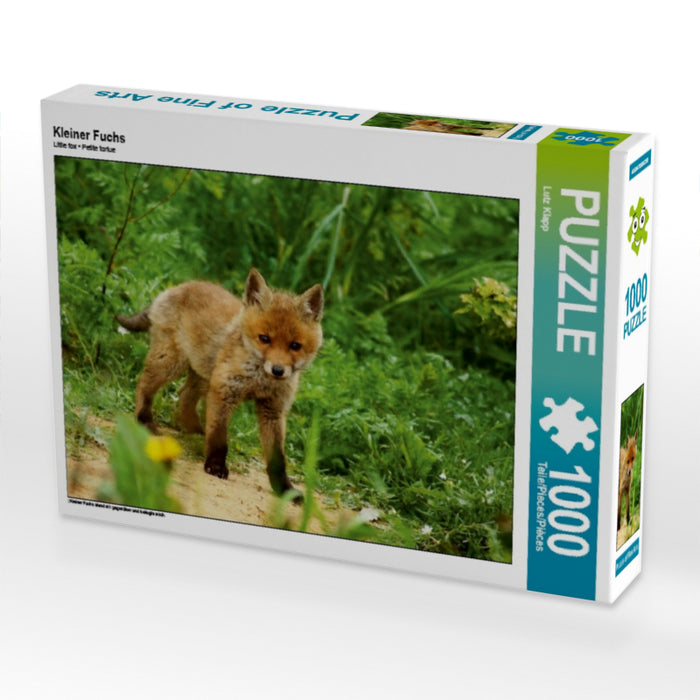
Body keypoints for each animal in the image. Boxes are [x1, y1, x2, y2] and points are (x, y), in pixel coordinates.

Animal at [116, 268, 324, 498]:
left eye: (295, 345)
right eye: (264, 338)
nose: (278, 371)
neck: (259, 380)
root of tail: (177, 287)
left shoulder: (273, 410)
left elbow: (277, 458)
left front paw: (284, 489)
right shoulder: (225, 390)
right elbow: (218, 437)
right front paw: (215, 465)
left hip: (203, 375)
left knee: (184, 395)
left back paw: (195, 431)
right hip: (171, 363)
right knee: (144, 383)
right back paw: (144, 420)